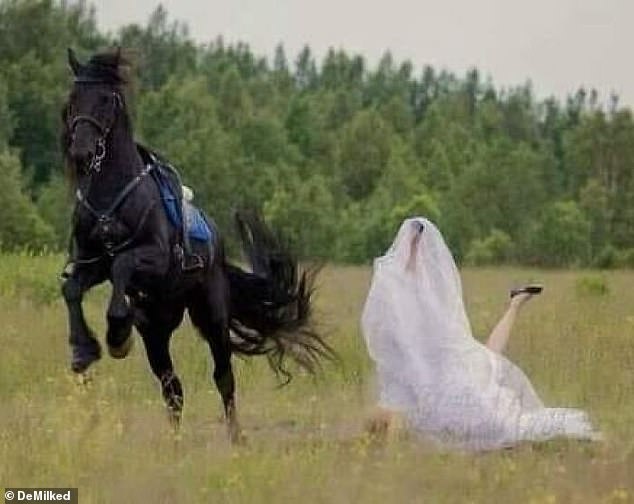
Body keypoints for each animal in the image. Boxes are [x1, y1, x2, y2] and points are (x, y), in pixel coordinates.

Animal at [61, 48, 334, 440]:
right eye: (73, 98)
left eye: (105, 99)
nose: (81, 152)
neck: (113, 193)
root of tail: (218, 248)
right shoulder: (90, 263)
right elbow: (72, 288)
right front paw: (84, 350)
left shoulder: (156, 258)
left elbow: (123, 264)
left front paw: (116, 334)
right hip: (156, 328)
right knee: (173, 390)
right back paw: (175, 443)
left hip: (211, 315)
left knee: (223, 378)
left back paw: (237, 439)